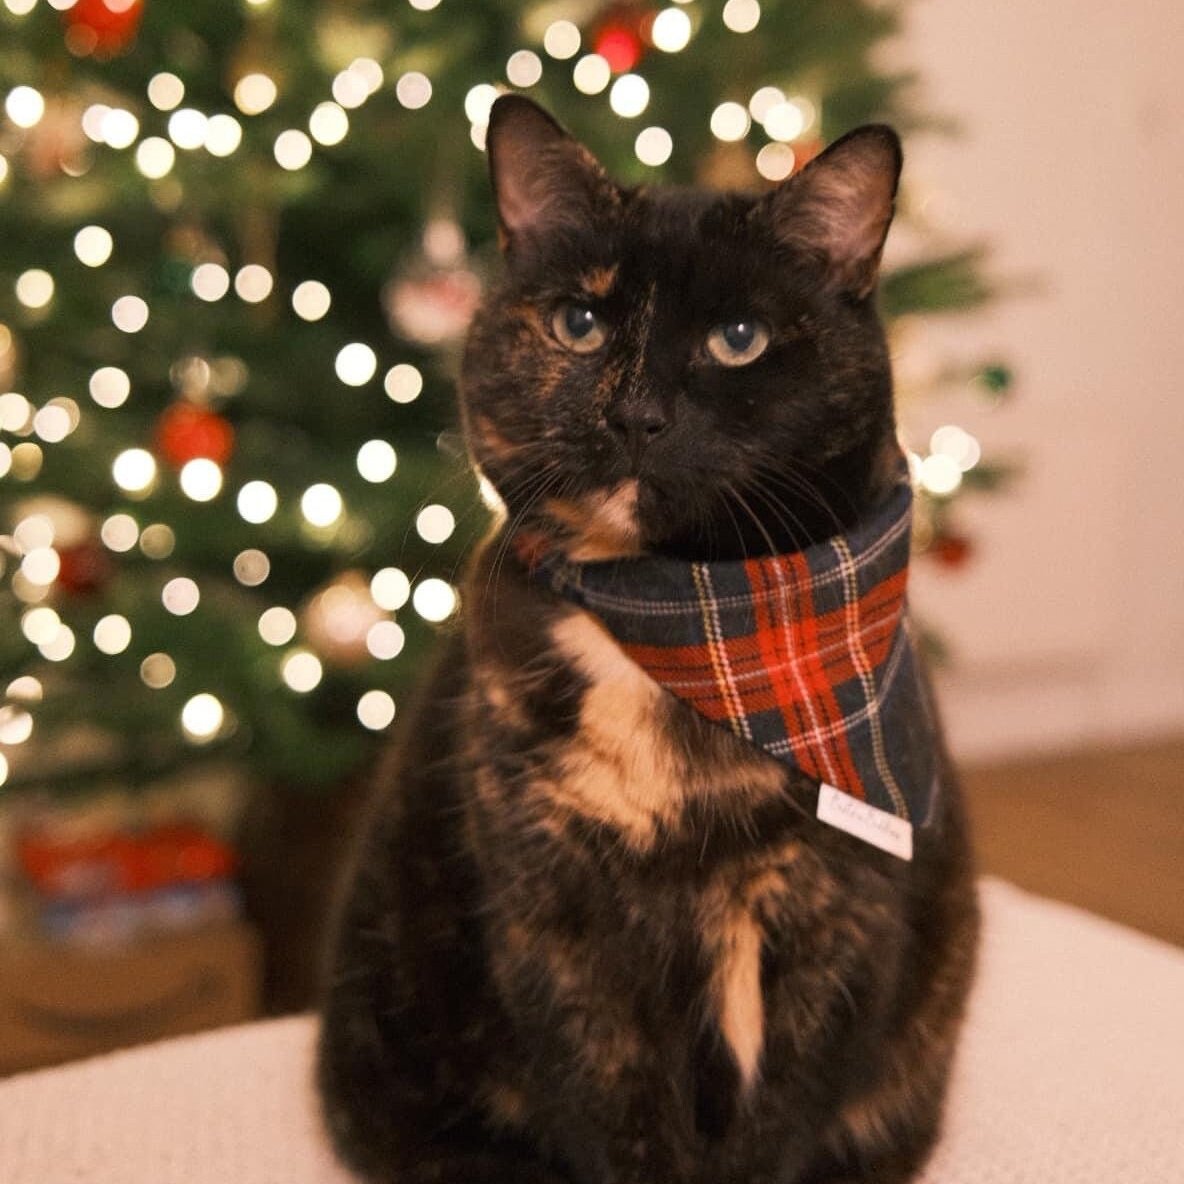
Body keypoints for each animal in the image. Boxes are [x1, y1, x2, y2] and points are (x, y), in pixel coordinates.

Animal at [319, 94, 975, 1184]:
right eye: (578, 323)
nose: (636, 412)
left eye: (739, 337)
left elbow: (772, 1125)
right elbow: (615, 1110)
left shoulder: (832, 920)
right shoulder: (556, 924)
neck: (687, 622)